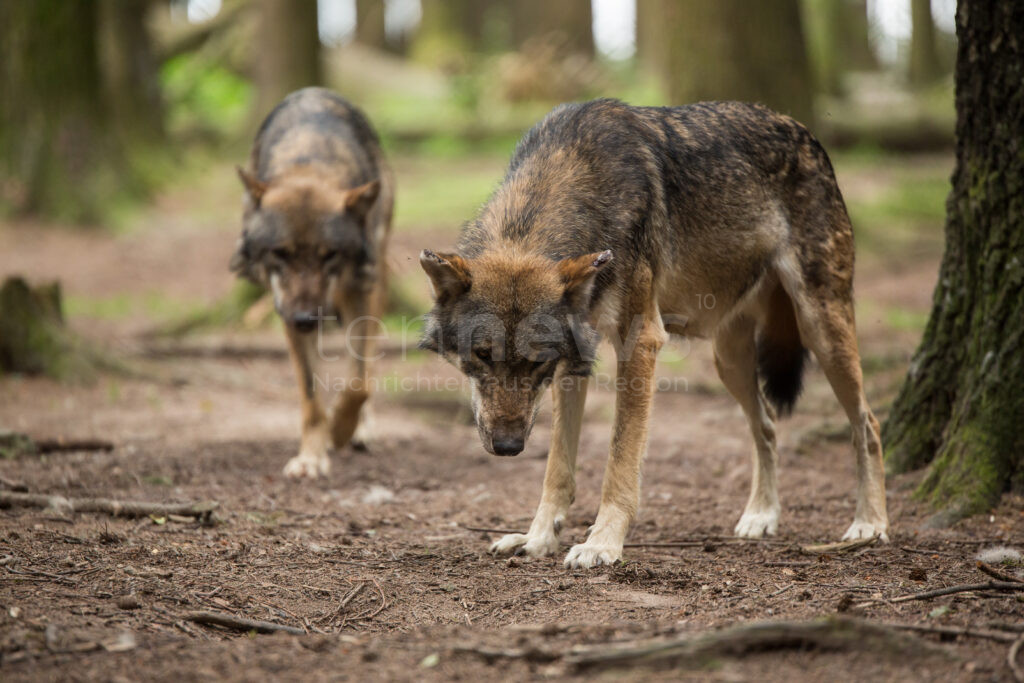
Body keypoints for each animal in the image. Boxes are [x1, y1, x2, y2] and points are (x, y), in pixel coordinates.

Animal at [231, 87, 391, 481]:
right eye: (280, 253)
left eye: (329, 254)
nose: (306, 319)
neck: (309, 157)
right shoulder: (285, 308)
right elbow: (311, 397)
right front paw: (311, 457)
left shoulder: (361, 292)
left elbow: (358, 383)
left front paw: (341, 430)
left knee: (366, 363)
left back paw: (361, 430)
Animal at [419, 98, 884, 573]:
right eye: (481, 354)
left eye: (536, 361)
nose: (508, 446)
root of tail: (803, 130)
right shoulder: (574, 359)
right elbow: (557, 468)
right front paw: (537, 539)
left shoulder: (639, 341)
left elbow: (620, 459)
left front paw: (603, 542)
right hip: (729, 360)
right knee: (768, 425)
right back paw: (761, 515)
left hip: (821, 329)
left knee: (867, 424)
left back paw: (869, 524)